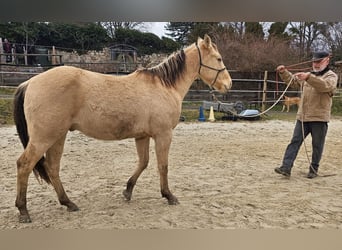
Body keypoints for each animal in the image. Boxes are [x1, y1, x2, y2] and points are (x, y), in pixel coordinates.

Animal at [13, 34, 232, 223]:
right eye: (219, 58)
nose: (228, 84)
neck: (164, 86)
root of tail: (30, 82)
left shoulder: (142, 136)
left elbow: (143, 163)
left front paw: (127, 191)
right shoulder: (163, 135)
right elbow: (163, 166)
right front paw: (169, 195)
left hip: (57, 136)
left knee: (52, 167)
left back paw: (68, 203)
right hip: (44, 138)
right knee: (25, 165)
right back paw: (23, 211)